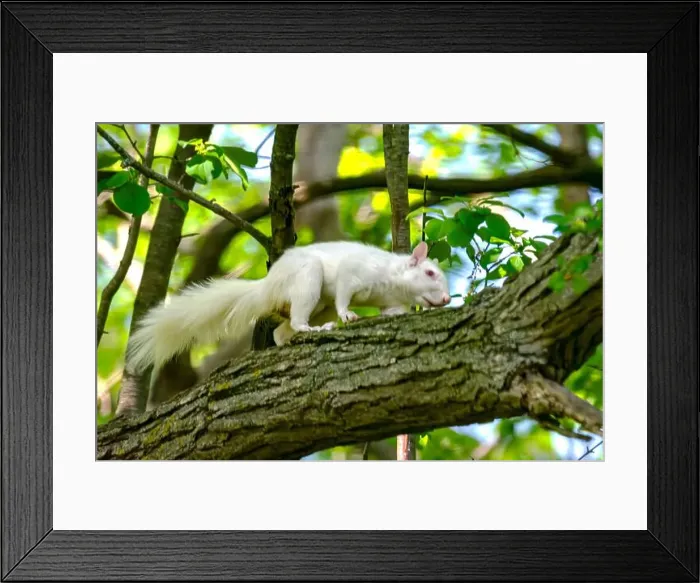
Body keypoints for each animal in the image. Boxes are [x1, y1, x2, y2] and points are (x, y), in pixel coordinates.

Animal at [127, 240, 451, 381]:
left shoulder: (391, 300)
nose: (447, 298)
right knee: (296, 320)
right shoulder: (354, 272)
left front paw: (397, 316)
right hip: (308, 281)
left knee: (283, 332)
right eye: (430, 273)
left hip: (319, 305)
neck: (392, 279)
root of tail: (268, 287)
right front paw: (349, 315)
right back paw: (313, 329)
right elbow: (344, 294)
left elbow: (392, 310)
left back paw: (300, 335)